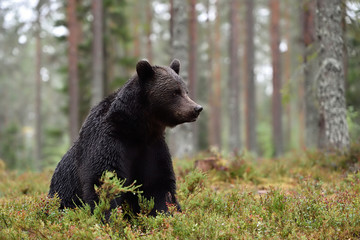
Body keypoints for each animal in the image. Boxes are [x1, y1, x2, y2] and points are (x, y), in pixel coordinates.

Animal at [48, 58, 202, 216]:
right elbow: (103, 181)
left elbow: (160, 184)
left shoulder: (152, 147)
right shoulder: (108, 141)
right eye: (175, 92)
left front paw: (167, 213)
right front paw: (109, 216)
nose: (197, 108)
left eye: (186, 91)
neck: (138, 129)